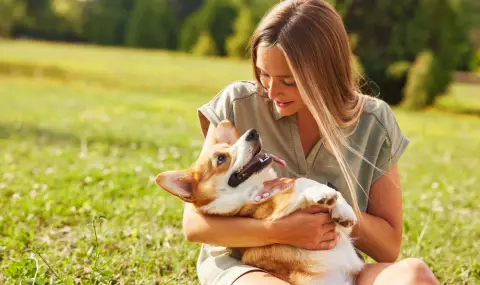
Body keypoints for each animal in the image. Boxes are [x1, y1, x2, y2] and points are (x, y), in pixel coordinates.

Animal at [156, 120, 362, 284]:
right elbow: (300, 182)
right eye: (221, 159)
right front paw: (322, 193)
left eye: (231, 145)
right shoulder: (271, 210)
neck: (256, 187)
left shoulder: (339, 232)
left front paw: (343, 211)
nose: (252, 133)